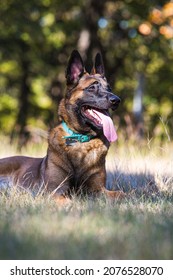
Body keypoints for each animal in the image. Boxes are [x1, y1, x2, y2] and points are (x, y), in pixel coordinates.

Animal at [0, 50, 125, 202]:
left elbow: (122, 194)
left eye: (110, 88)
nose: (116, 100)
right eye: (92, 88)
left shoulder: (98, 190)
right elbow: (69, 201)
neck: (81, 139)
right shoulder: (54, 192)